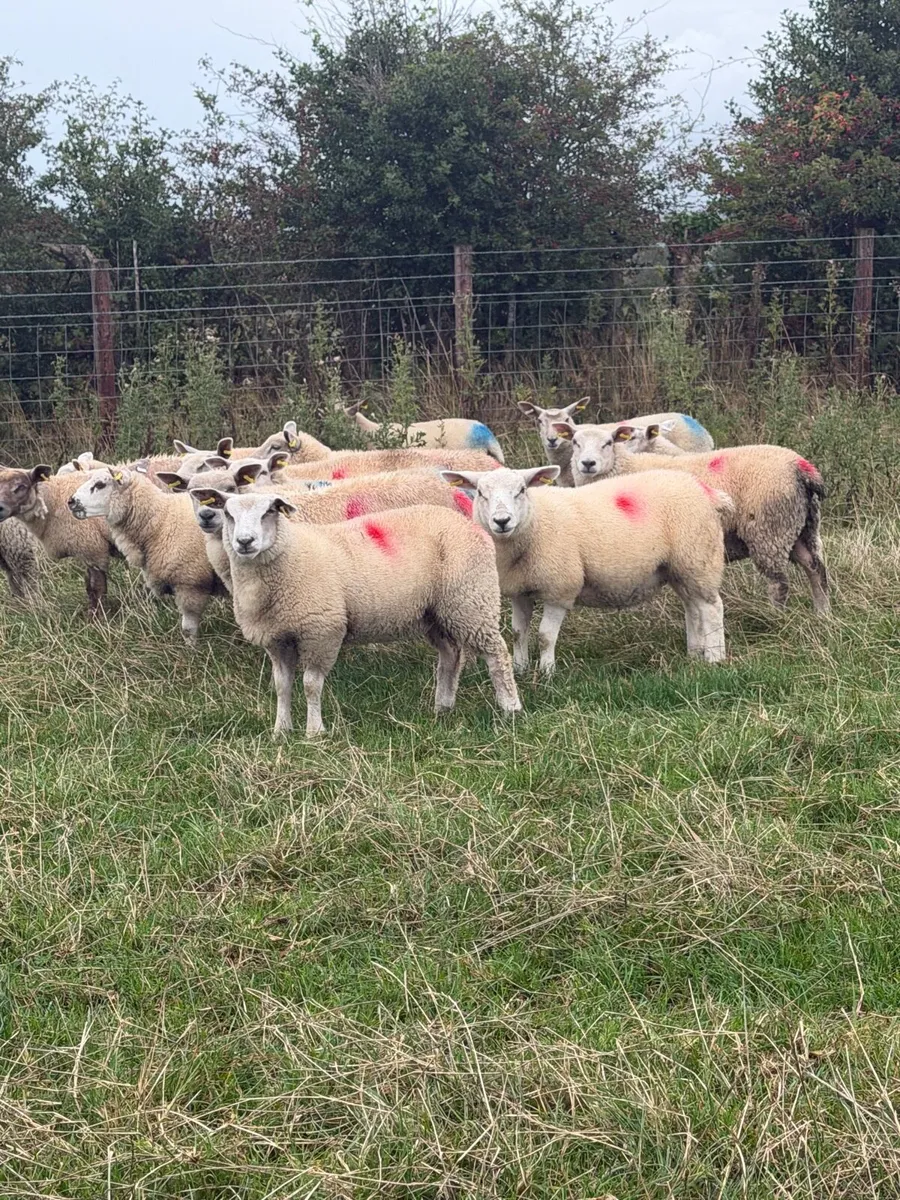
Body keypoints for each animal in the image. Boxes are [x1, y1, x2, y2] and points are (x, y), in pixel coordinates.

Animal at [68, 467, 227, 641]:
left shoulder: (190, 583)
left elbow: (188, 630)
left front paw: (192, 648)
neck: (161, 521)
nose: (71, 501)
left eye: (100, 484)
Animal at [190, 489, 521, 736]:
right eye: (228, 513)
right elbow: (282, 687)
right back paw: (443, 707)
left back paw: (510, 707)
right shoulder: (277, 639)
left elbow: (311, 685)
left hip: (471, 599)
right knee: (451, 655)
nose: (245, 542)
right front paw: (281, 730)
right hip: (435, 612)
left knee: (497, 654)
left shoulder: (321, 631)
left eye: (268, 512)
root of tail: (469, 524)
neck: (289, 557)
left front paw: (314, 732)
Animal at [441, 464, 730, 673]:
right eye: (481, 493)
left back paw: (714, 658)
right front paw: (520, 668)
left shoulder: (560, 589)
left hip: (698, 557)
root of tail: (703, 488)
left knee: (712, 608)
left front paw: (546, 672)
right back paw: (694, 653)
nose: (502, 521)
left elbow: (545, 636)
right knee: (693, 608)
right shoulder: (520, 591)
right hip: (680, 567)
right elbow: (517, 633)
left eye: (522, 490)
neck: (535, 523)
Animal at [552, 421, 830, 613]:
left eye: (608, 443)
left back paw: (775, 617)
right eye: (575, 442)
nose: (588, 464)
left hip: (769, 529)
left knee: (779, 583)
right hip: (801, 525)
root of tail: (801, 467)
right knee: (816, 568)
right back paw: (822, 613)